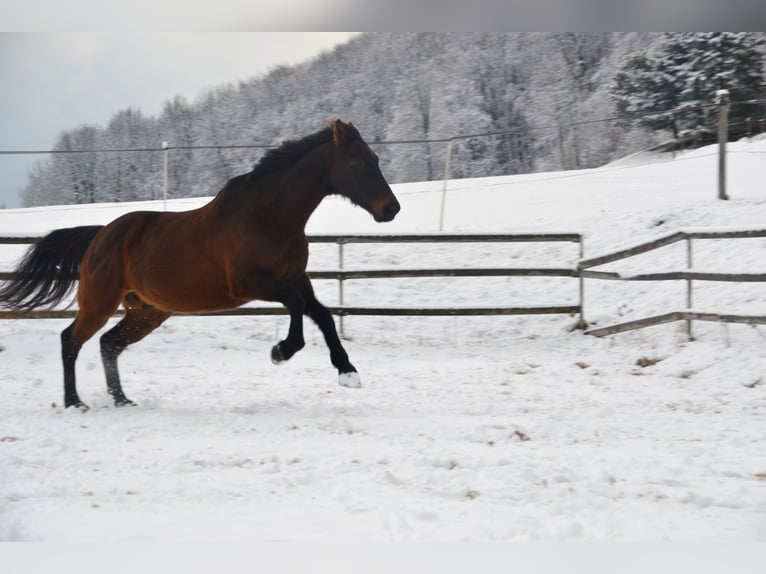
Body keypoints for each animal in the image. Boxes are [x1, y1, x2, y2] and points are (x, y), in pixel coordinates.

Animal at [0, 119, 400, 412]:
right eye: (360, 161)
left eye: (376, 159)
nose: (391, 209)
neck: (268, 217)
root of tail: (100, 236)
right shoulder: (250, 283)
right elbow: (299, 309)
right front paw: (280, 352)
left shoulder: (297, 278)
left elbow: (324, 315)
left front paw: (348, 372)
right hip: (100, 303)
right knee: (71, 340)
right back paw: (74, 402)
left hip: (146, 312)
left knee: (108, 345)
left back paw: (123, 400)